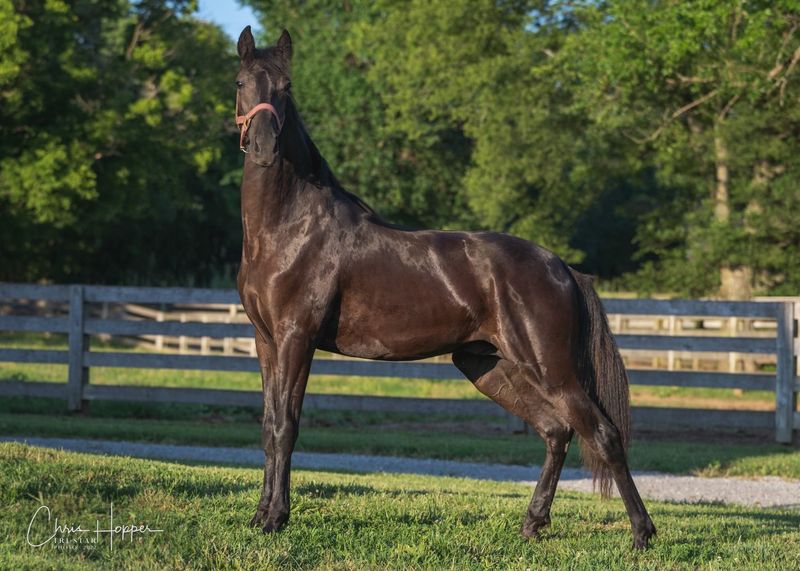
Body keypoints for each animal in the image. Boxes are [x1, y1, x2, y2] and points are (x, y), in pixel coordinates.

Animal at [233, 26, 656, 548]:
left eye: (287, 87)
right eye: (241, 82)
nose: (265, 148)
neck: (288, 228)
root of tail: (562, 267)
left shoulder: (297, 338)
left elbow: (287, 426)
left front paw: (277, 518)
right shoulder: (266, 340)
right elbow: (269, 425)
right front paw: (260, 516)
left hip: (550, 367)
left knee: (602, 433)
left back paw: (641, 534)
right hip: (487, 365)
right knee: (557, 430)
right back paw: (532, 524)